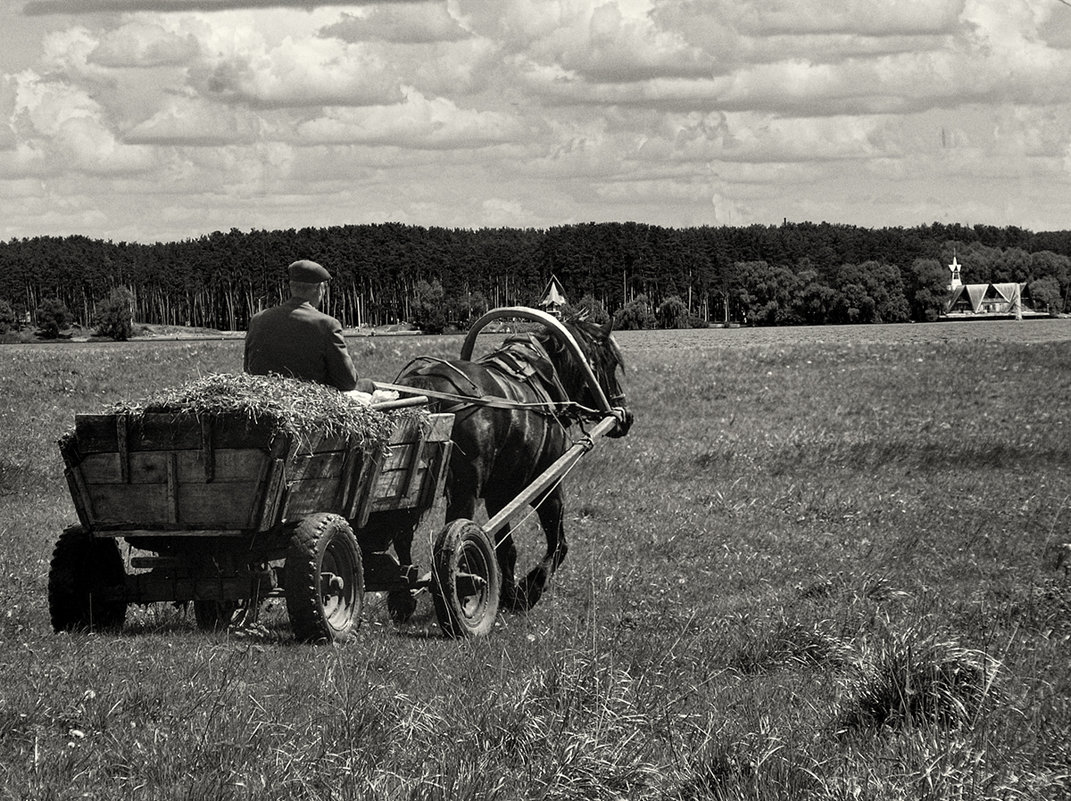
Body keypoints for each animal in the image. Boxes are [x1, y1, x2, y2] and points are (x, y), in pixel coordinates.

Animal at [391, 312, 625, 612]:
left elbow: (506, 549)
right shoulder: (548, 485)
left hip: (410, 491)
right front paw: (530, 588)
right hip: (465, 491)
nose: (626, 415)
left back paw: (403, 596)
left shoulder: (498, 493)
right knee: (454, 540)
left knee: (400, 535)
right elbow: (558, 544)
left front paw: (510, 593)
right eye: (609, 362)